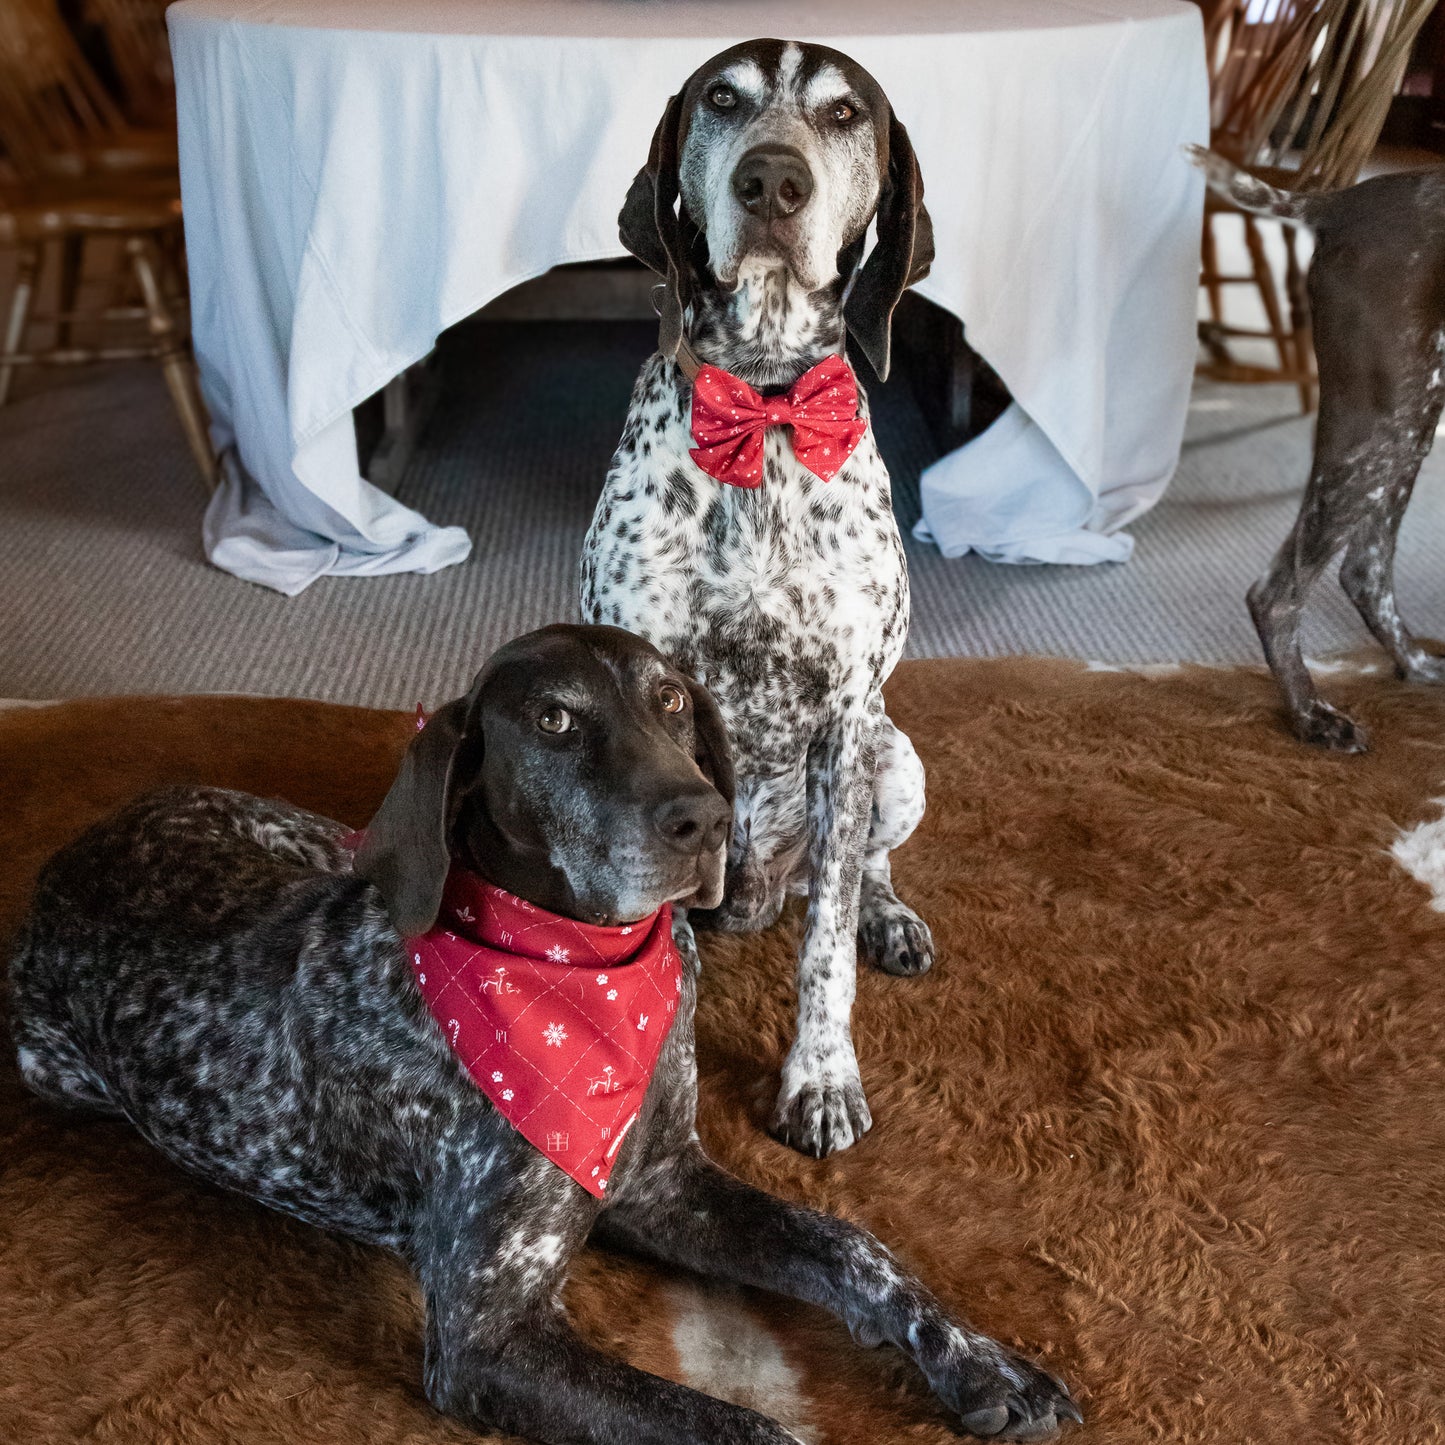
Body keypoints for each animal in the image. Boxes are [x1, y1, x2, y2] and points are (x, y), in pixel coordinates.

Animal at [8, 624, 1075, 1445]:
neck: (585, 971)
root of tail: (85, 843)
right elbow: (734, 1422)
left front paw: (982, 1362)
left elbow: (852, 1245)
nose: (705, 817)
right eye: (555, 719)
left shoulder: (662, 1185)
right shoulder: (489, 1336)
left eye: (673, 701)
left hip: (325, 845)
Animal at [583, 39, 936, 1156]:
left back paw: (886, 916)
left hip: (893, 756)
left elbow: (823, 949)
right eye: (723, 99)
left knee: (855, 869)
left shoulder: (846, 720)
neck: (768, 408)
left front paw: (819, 1078)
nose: (772, 181)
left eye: (842, 113)